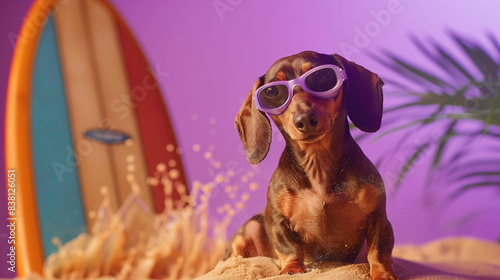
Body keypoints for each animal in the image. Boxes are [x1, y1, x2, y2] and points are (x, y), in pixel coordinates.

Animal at [226, 50, 394, 280]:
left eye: (323, 77)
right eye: (272, 92)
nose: (304, 119)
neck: (318, 165)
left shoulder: (378, 218)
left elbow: (378, 250)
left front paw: (382, 273)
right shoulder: (278, 221)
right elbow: (289, 248)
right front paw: (291, 269)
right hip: (250, 228)